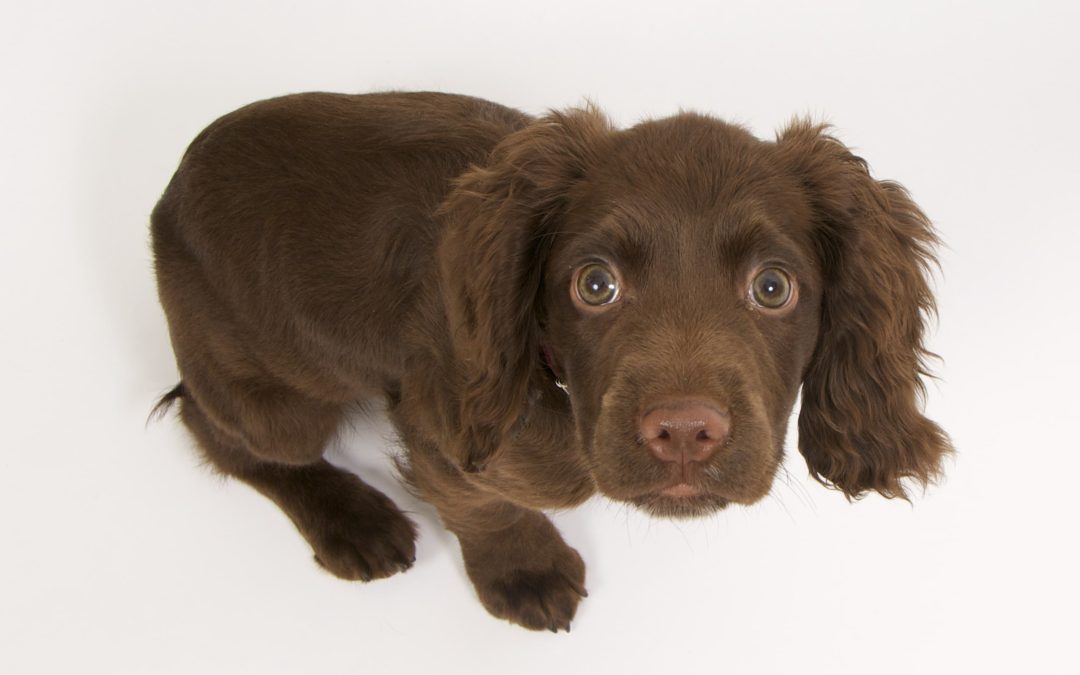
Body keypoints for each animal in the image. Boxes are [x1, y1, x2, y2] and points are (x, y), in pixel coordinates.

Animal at [150, 92, 946, 630]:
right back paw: (352, 520)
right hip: (273, 394)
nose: (684, 432)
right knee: (219, 429)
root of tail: (169, 190)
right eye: (595, 285)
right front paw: (523, 572)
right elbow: (485, 505)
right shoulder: (444, 428)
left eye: (773, 287)